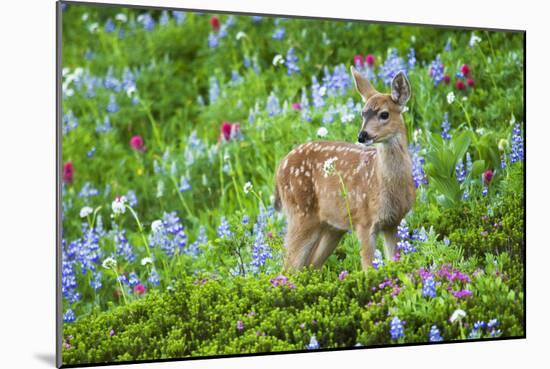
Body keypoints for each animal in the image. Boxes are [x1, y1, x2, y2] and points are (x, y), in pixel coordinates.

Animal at [274, 67, 416, 270]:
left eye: (384, 114)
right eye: (363, 114)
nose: (362, 135)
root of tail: (279, 169)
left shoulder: (392, 222)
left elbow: (394, 264)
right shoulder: (364, 221)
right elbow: (368, 269)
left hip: (331, 227)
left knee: (309, 266)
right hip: (301, 214)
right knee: (288, 269)